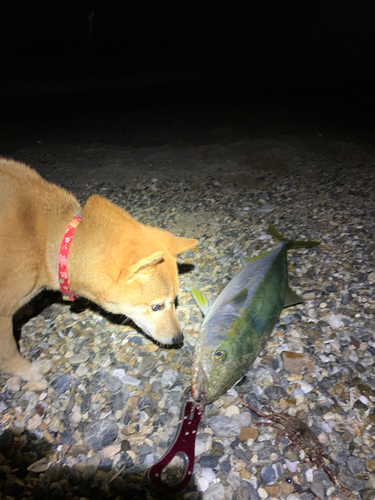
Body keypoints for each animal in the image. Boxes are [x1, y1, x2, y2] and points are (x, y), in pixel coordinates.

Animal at [0, 158, 200, 380]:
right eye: (157, 306)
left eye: (174, 301)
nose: (179, 339)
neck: (52, 243)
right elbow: (8, 355)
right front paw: (30, 373)